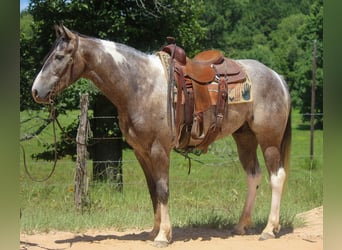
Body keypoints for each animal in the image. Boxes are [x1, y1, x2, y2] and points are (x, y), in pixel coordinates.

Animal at [31, 24, 292, 247]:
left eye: (59, 57)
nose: (36, 91)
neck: (138, 85)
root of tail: (277, 77)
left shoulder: (159, 149)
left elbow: (163, 189)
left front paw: (164, 235)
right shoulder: (141, 151)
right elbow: (153, 189)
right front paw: (154, 230)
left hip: (269, 139)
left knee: (276, 177)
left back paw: (269, 229)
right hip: (244, 137)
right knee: (253, 175)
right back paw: (241, 225)